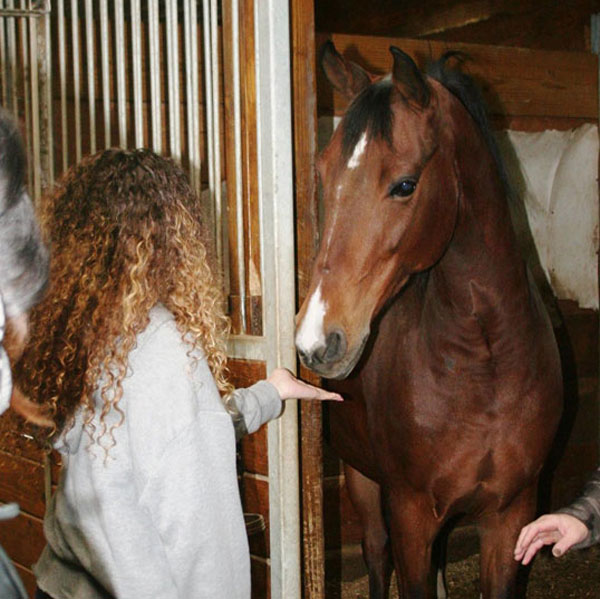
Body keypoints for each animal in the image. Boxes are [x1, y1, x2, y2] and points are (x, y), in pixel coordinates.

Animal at [295, 42, 562, 598]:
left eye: (404, 185)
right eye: (323, 176)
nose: (315, 340)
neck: (484, 362)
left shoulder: (511, 515)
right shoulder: (411, 514)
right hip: (362, 477)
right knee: (376, 553)